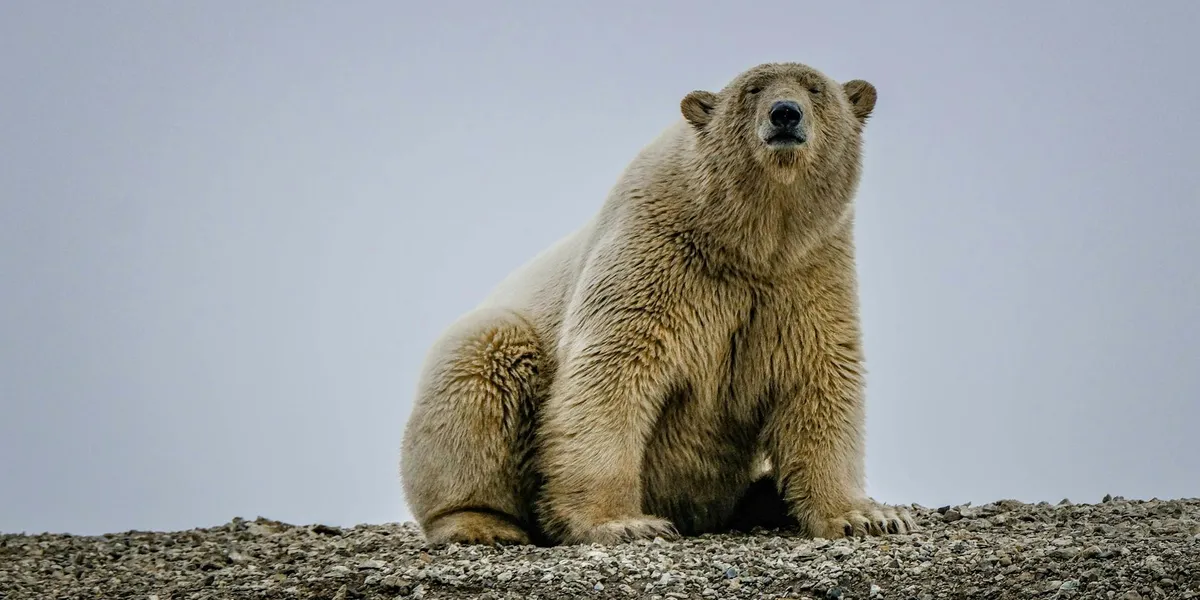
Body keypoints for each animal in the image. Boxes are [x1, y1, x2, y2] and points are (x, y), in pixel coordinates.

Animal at [399, 60, 917, 547]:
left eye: (815, 89)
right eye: (752, 90)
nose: (785, 113)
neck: (745, 241)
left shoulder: (807, 273)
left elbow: (818, 379)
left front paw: (869, 516)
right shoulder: (653, 255)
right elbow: (611, 374)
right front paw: (625, 523)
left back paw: (768, 497)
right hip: (495, 347)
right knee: (482, 368)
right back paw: (480, 523)